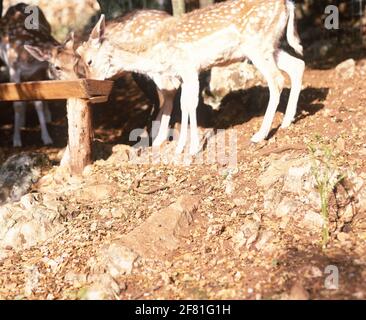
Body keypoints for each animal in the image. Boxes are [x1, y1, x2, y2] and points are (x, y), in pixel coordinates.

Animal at [0, 2, 59, 147]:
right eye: (57, 66)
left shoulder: (37, 72)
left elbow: (39, 102)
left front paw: (47, 138)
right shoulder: (14, 70)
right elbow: (17, 103)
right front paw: (16, 140)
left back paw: (47, 116)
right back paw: (21, 122)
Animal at [78, 0, 304, 155]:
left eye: (89, 61)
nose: (91, 85)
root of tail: (287, 4)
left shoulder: (188, 68)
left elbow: (189, 103)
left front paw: (193, 147)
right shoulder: (184, 74)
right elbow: (184, 104)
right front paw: (181, 147)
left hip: (258, 45)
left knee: (277, 80)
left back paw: (260, 134)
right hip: (271, 45)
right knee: (297, 65)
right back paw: (287, 121)